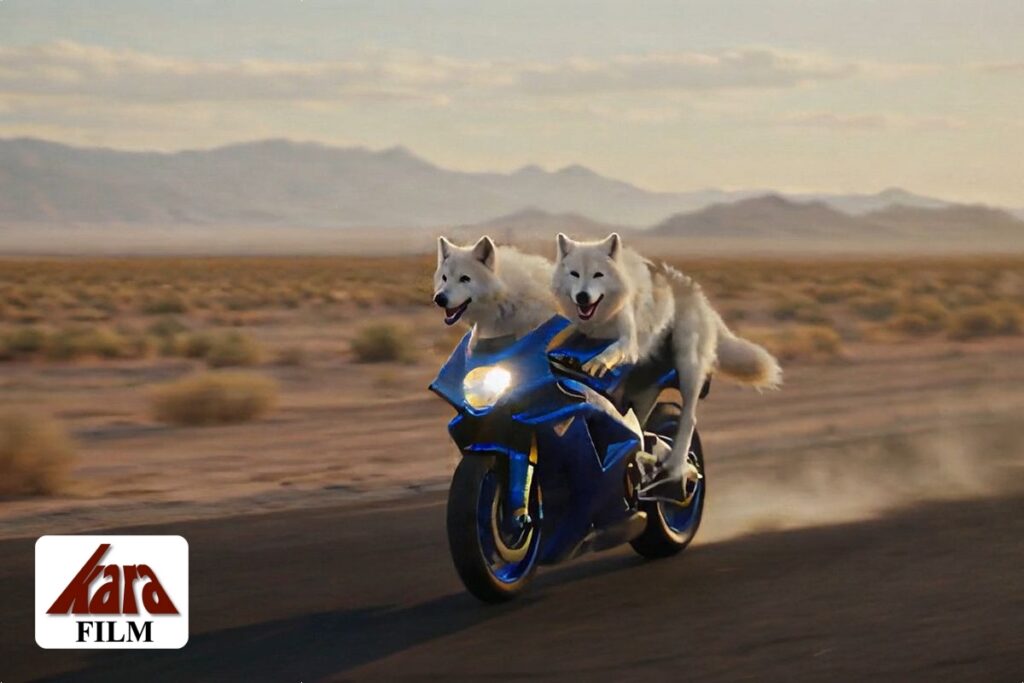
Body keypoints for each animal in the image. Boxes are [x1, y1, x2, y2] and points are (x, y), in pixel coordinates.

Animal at [551, 232, 782, 489]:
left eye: (598, 274)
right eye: (575, 274)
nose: (582, 297)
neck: (600, 321)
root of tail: (702, 299)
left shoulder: (628, 342)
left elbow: (613, 350)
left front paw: (598, 362)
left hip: (688, 368)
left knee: (688, 419)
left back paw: (675, 467)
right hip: (645, 389)